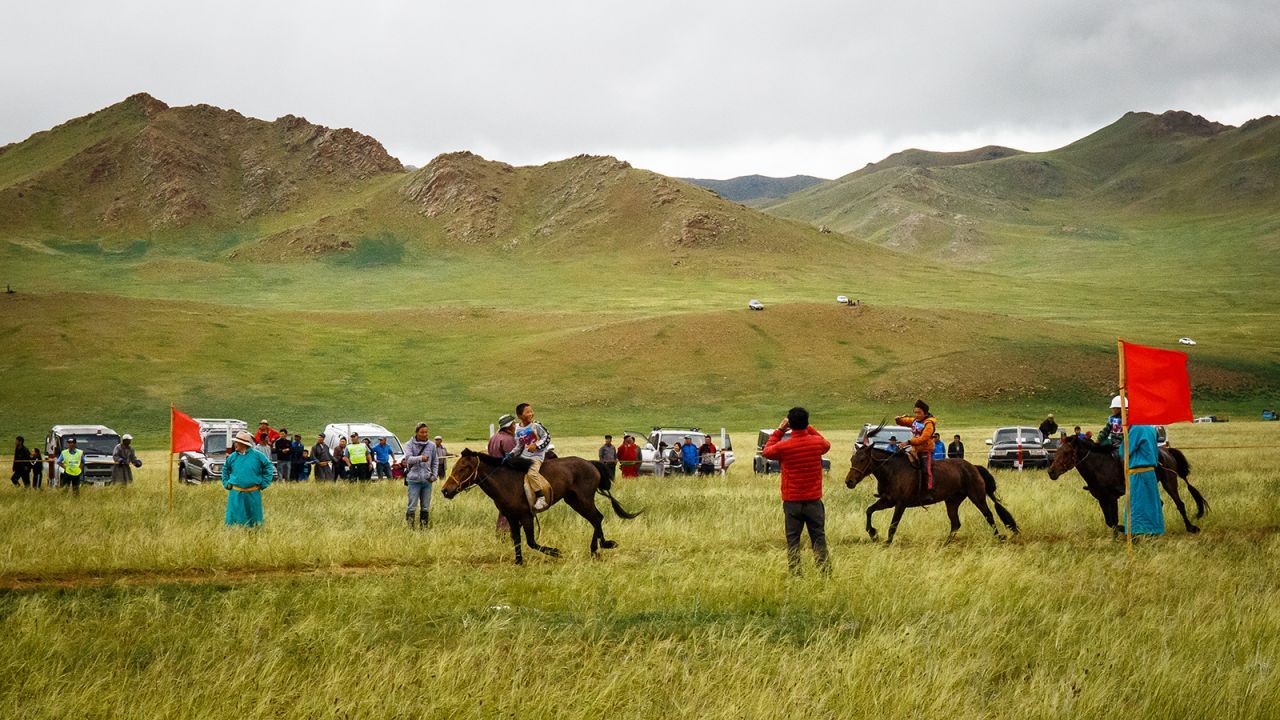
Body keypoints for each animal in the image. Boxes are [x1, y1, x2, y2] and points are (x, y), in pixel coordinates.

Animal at [440, 448, 640, 561]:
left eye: (463, 468)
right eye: (454, 466)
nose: (445, 490)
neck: (506, 481)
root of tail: (590, 463)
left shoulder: (526, 516)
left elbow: (531, 542)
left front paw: (555, 552)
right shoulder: (511, 518)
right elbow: (517, 540)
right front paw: (518, 561)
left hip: (583, 500)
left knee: (597, 518)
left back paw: (600, 547)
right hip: (574, 500)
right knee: (596, 519)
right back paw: (599, 547)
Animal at [844, 430, 1013, 543]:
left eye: (862, 459)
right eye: (852, 459)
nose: (849, 482)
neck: (892, 471)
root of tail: (973, 467)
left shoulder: (900, 504)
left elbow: (893, 525)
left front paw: (887, 542)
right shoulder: (887, 501)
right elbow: (869, 510)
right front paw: (873, 533)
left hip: (977, 496)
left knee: (988, 515)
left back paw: (999, 539)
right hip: (952, 501)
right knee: (955, 523)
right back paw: (946, 543)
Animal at [1044, 430, 1203, 532]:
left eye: (1066, 452)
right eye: (1057, 451)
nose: (1051, 472)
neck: (1099, 466)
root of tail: (1167, 451)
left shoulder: (1112, 497)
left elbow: (1114, 522)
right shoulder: (1102, 499)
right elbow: (1110, 522)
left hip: (1169, 482)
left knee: (1180, 504)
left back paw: (1191, 528)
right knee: (1159, 503)